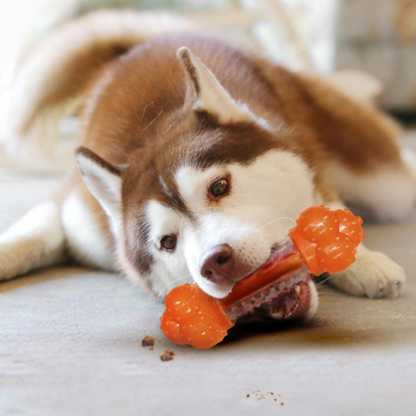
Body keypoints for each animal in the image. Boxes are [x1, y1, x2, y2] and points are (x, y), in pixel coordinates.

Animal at [1, 10, 414, 322]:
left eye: (219, 187)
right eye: (167, 242)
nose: (216, 262)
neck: (149, 132)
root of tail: (151, 41)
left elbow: (325, 213)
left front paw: (364, 262)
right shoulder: (80, 218)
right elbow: (30, 232)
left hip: (383, 181)